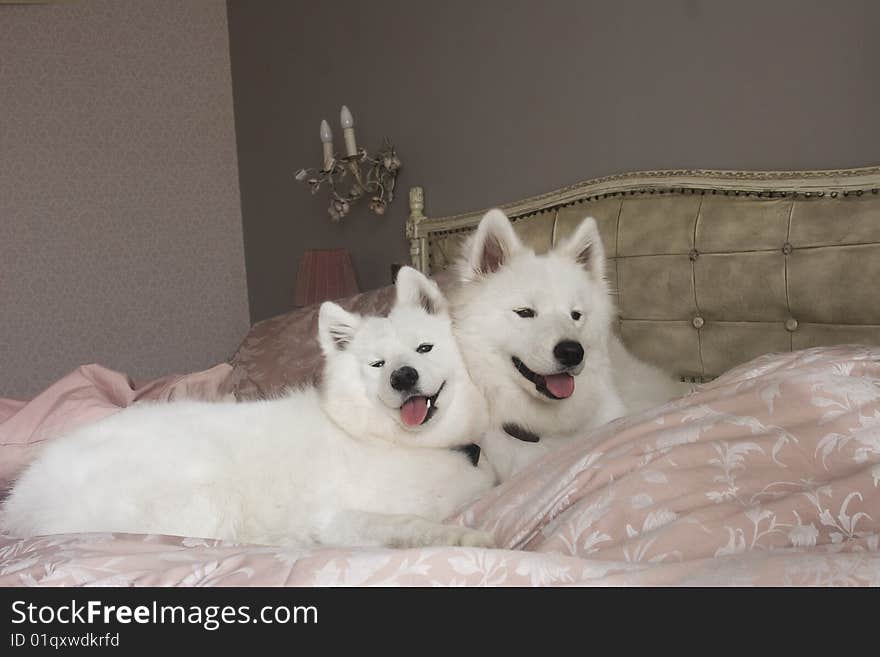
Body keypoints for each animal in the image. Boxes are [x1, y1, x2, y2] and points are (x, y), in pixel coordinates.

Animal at [0, 266, 496, 548]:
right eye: (377, 364)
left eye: (424, 348)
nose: (403, 377)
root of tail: (21, 504)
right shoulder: (339, 515)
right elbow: (412, 524)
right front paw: (467, 538)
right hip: (204, 498)